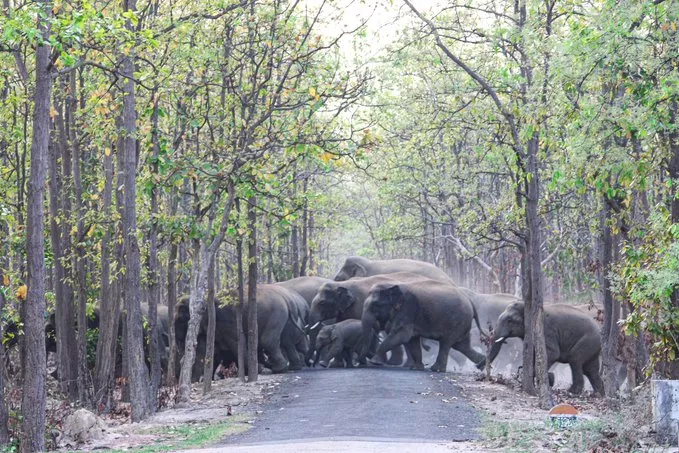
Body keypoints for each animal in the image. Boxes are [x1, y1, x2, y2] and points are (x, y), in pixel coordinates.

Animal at [480, 300, 608, 396]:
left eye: (510, 320)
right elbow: (534, 354)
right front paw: (549, 379)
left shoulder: (546, 331)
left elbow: (553, 353)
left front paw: (549, 379)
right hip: (592, 347)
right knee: (590, 370)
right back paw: (598, 394)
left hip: (588, 341)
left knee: (575, 361)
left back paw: (571, 392)